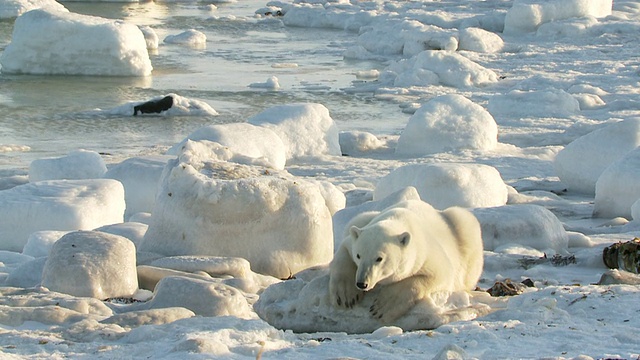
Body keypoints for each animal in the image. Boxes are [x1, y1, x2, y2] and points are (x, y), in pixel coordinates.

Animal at [328, 198, 482, 322]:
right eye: (358, 255)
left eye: (379, 258)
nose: (362, 283)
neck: (399, 220)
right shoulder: (352, 241)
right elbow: (344, 251)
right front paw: (346, 296)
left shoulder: (425, 253)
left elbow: (440, 274)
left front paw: (383, 307)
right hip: (364, 217)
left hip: (463, 231)